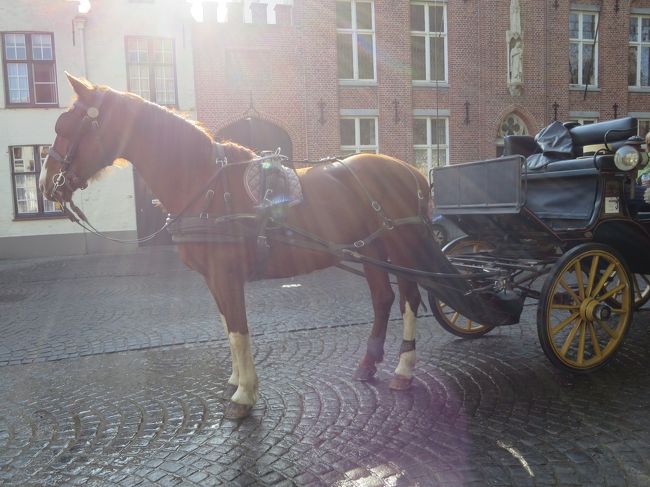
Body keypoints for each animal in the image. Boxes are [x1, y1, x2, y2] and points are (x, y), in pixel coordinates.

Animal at [40, 74, 507, 419]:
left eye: (65, 127)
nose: (46, 185)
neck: (207, 186)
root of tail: (409, 169)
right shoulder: (214, 280)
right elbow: (228, 328)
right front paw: (235, 381)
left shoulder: (227, 275)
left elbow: (238, 330)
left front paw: (244, 395)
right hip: (371, 250)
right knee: (384, 299)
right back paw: (367, 365)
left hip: (402, 245)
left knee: (410, 299)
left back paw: (404, 370)